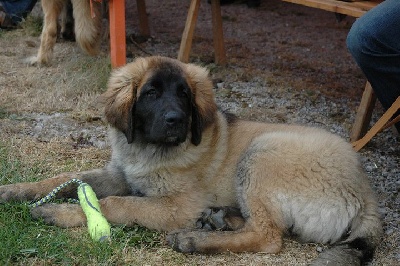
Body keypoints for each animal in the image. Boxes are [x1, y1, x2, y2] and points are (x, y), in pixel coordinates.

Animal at [0, 56, 382, 266]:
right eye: (150, 93)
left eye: (184, 94)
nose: (176, 120)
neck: (149, 150)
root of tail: (367, 197)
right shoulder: (120, 173)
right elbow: (68, 177)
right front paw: (17, 190)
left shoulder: (176, 205)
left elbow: (116, 203)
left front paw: (59, 212)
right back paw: (219, 219)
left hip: (263, 152)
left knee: (269, 236)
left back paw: (194, 240)